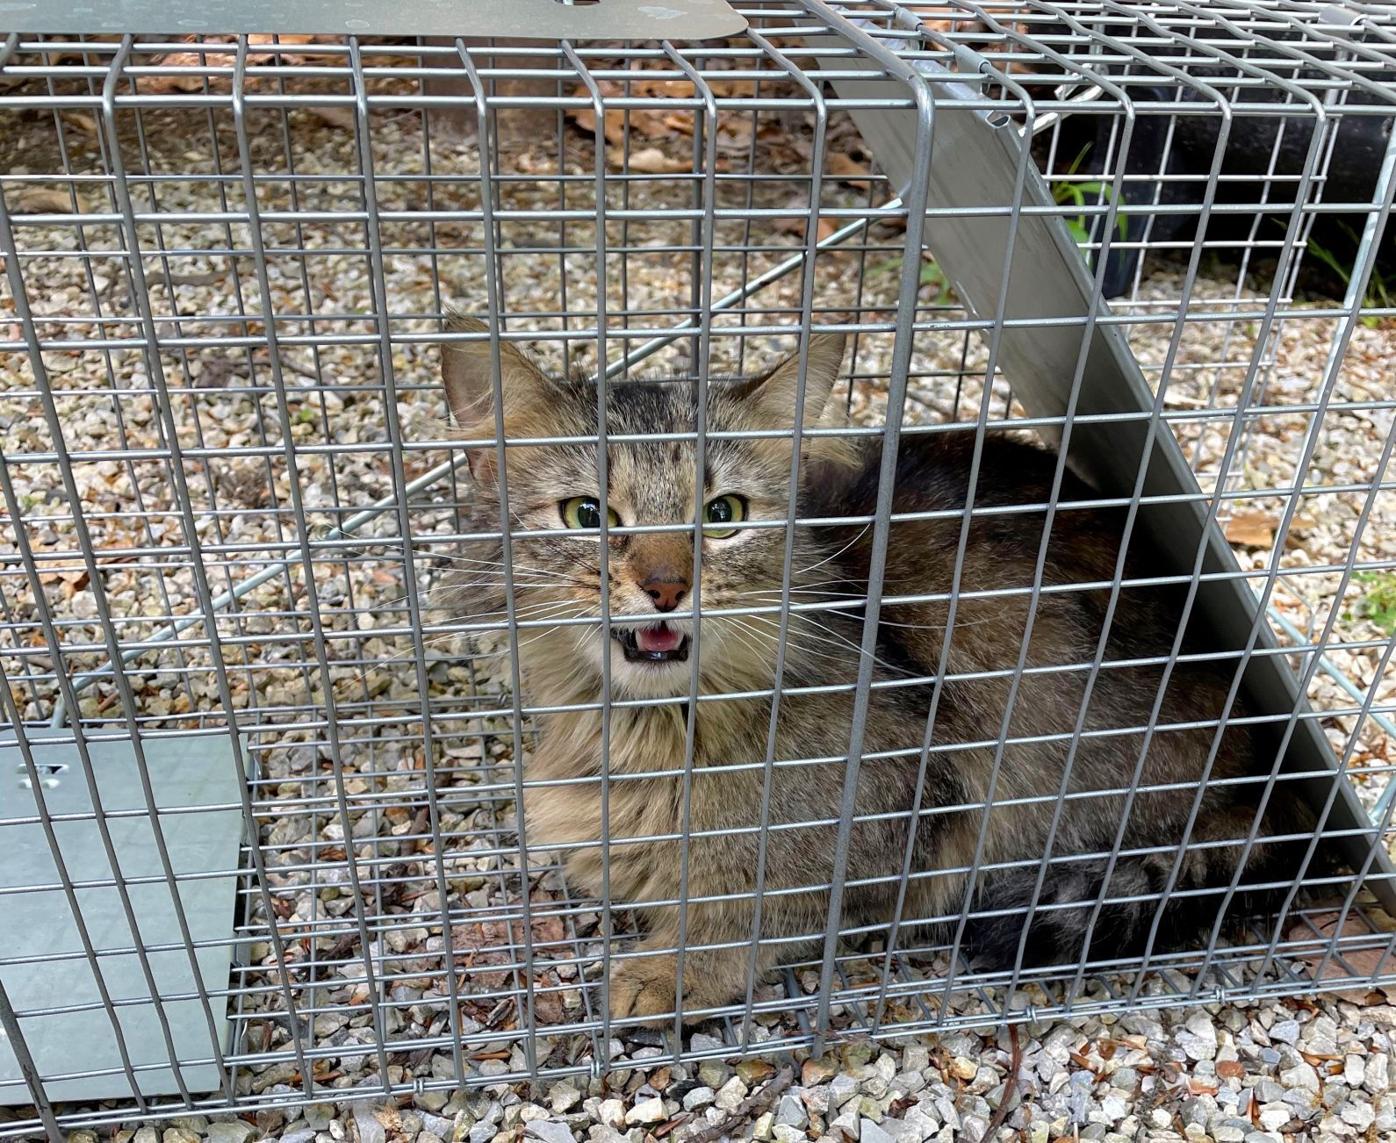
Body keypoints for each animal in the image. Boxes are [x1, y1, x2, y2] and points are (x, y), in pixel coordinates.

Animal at [435, 315, 1306, 1027]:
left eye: (723, 516)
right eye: (587, 515)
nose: (665, 586)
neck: (644, 731)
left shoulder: (916, 805)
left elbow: (759, 897)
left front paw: (672, 968)